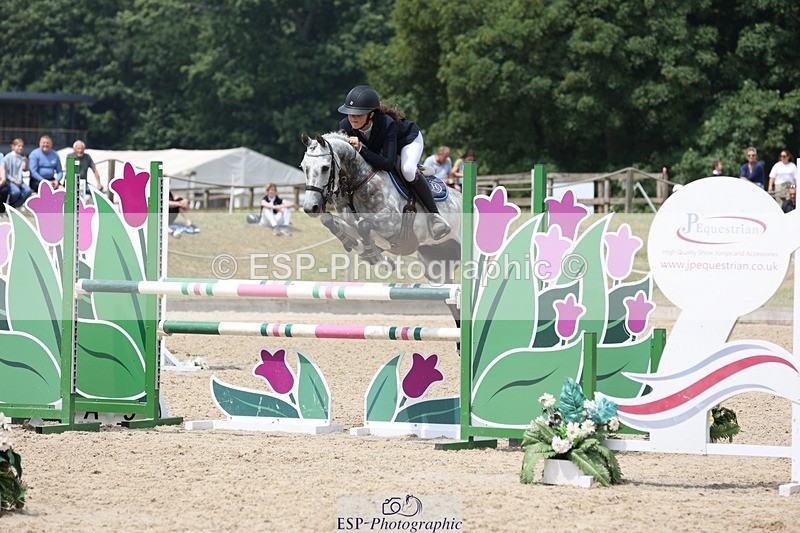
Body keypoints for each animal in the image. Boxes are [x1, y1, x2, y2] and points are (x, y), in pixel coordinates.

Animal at [300, 132, 462, 287]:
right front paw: (359, 248)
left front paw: (379, 260)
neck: (355, 184)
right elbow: (328, 220)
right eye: (304, 167)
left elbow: (364, 225)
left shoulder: (392, 222)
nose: (311, 207)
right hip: (435, 260)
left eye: (325, 168)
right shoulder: (351, 224)